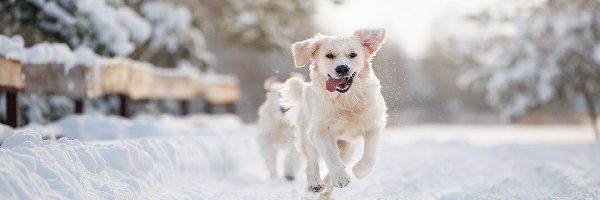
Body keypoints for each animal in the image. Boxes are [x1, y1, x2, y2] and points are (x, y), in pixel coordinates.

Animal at [280, 28, 386, 198]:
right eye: (329, 55)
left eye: (352, 54)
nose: (342, 68)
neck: (347, 100)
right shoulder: (319, 130)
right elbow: (330, 155)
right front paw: (340, 177)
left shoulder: (375, 124)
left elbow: (370, 156)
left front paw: (359, 171)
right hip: (306, 134)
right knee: (312, 161)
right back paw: (315, 184)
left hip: (347, 146)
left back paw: (326, 192)